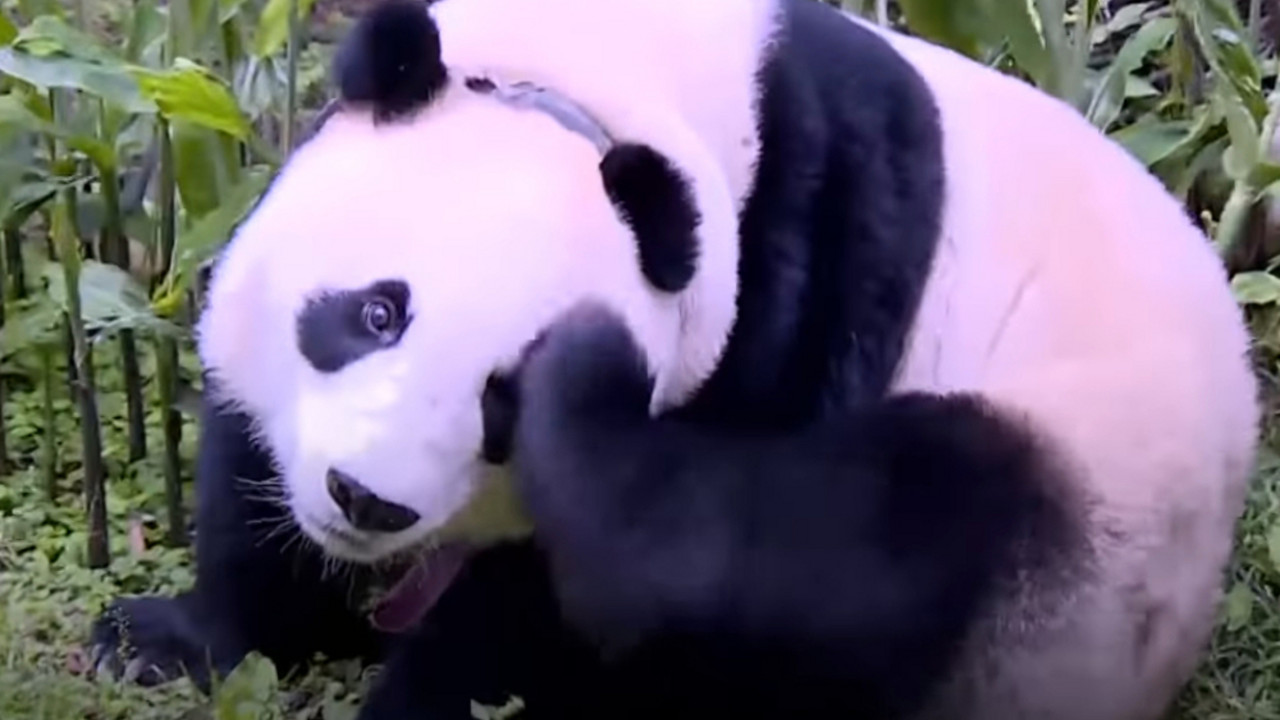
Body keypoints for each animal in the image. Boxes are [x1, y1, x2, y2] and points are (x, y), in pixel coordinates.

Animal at [87, 0, 1260, 719]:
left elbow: (581, 601)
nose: (368, 502)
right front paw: (169, 637)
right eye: (377, 313)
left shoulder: (800, 268)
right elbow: (249, 467)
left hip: (1078, 482)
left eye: (497, 400)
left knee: (840, 538)